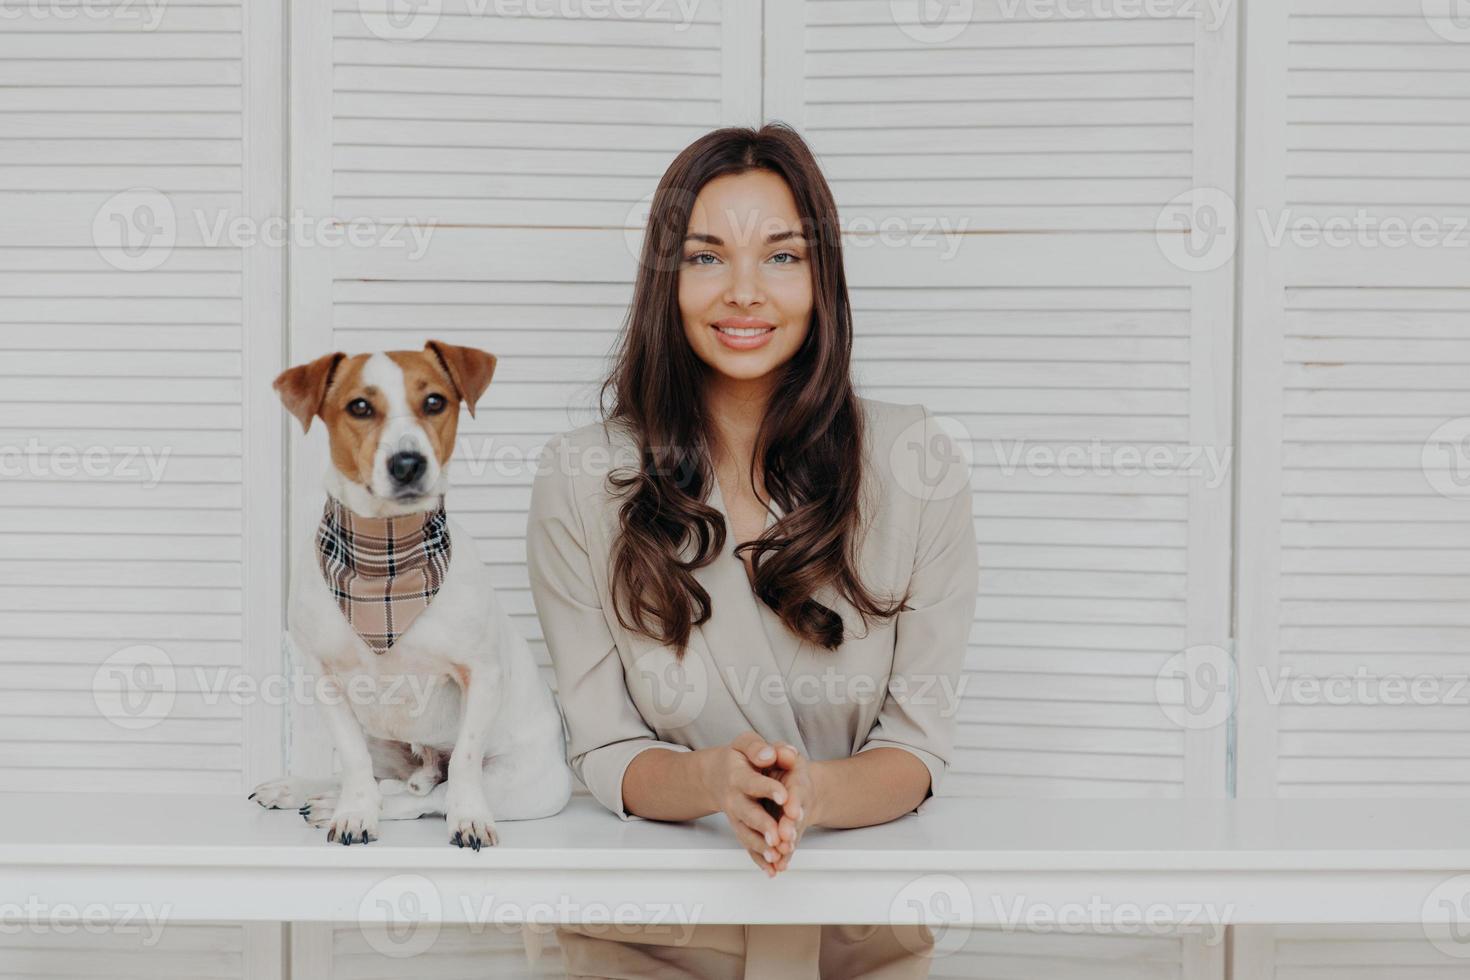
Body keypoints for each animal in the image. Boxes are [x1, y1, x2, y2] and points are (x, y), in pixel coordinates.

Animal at [249, 340, 570, 846]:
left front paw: (468, 819)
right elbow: (353, 763)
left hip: (521, 784)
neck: (385, 556)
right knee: (379, 777)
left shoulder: (481, 674)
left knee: (428, 796)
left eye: (435, 402)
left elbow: (463, 763)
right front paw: (354, 813)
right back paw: (307, 791)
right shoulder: (324, 678)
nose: (407, 463)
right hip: (381, 740)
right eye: (360, 407)